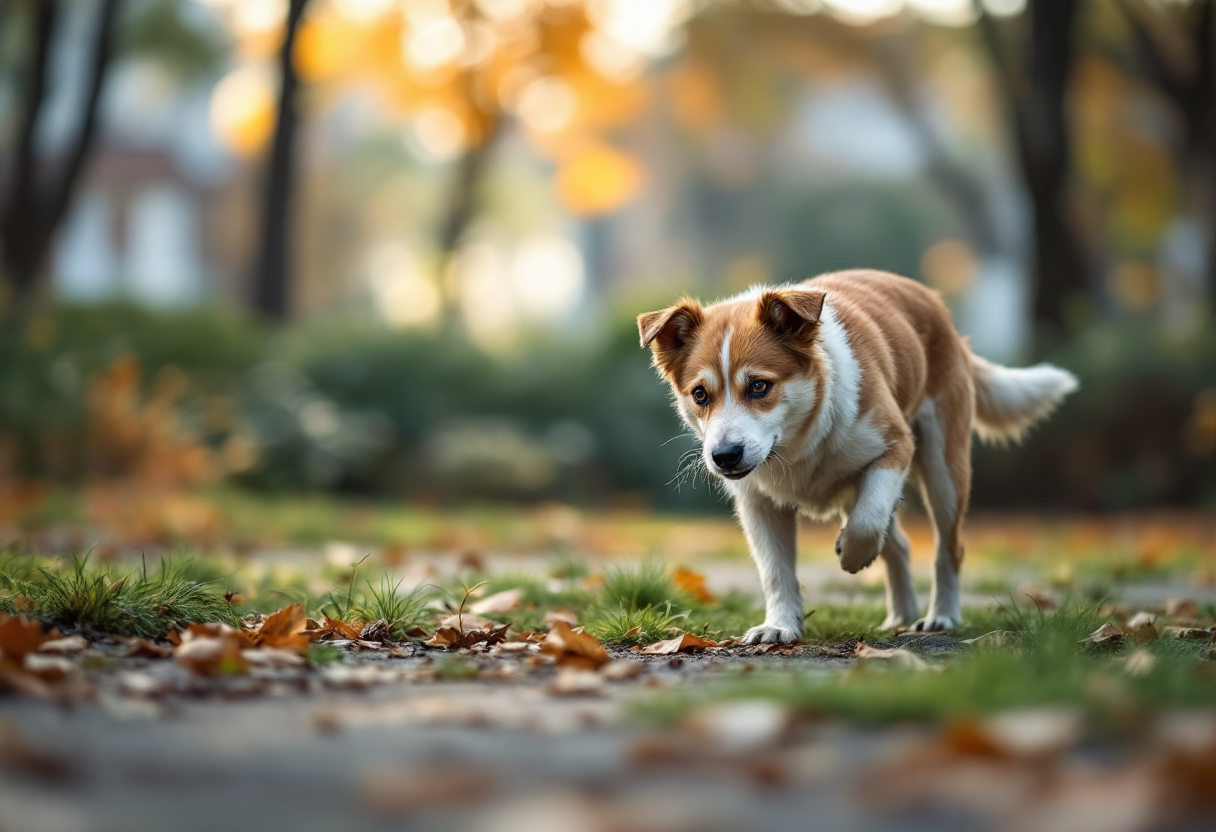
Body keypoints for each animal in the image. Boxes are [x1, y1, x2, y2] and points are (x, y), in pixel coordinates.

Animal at [637, 270, 1074, 642]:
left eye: (759, 386)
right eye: (700, 395)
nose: (724, 456)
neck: (798, 444)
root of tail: (937, 307)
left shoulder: (894, 447)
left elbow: (866, 524)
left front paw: (851, 556)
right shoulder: (758, 502)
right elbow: (775, 571)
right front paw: (780, 626)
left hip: (943, 470)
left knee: (946, 548)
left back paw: (941, 616)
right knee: (899, 545)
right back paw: (900, 615)